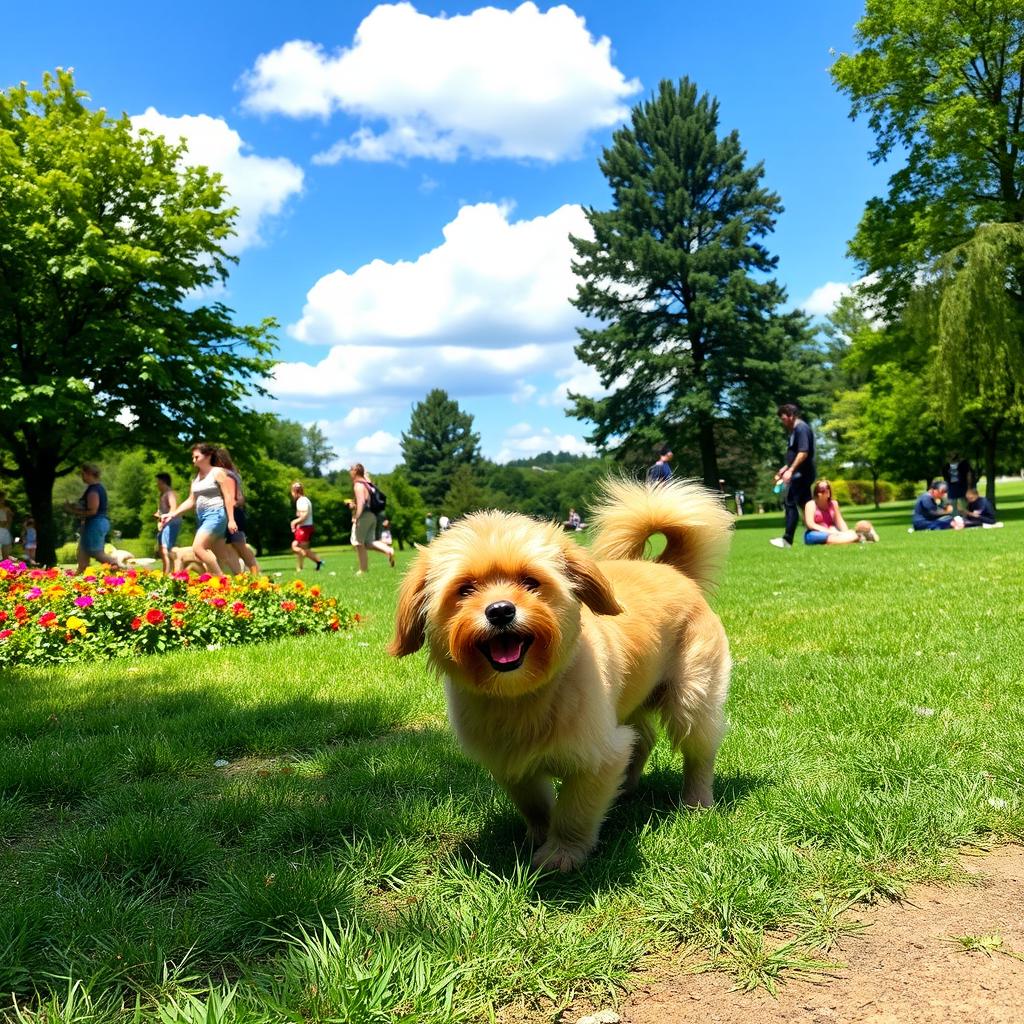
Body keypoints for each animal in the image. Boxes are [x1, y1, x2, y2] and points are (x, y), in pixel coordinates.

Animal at [387, 479, 733, 872]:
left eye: (530, 582)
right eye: (465, 588)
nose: (501, 611)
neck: (521, 694)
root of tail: (671, 569)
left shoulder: (598, 755)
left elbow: (575, 810)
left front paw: (562, 853)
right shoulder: (509, 763)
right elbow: (534, 804)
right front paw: (539, 834)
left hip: (692, 697)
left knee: (698, 750)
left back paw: (696, 801)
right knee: (642, 738)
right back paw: (626, 789)